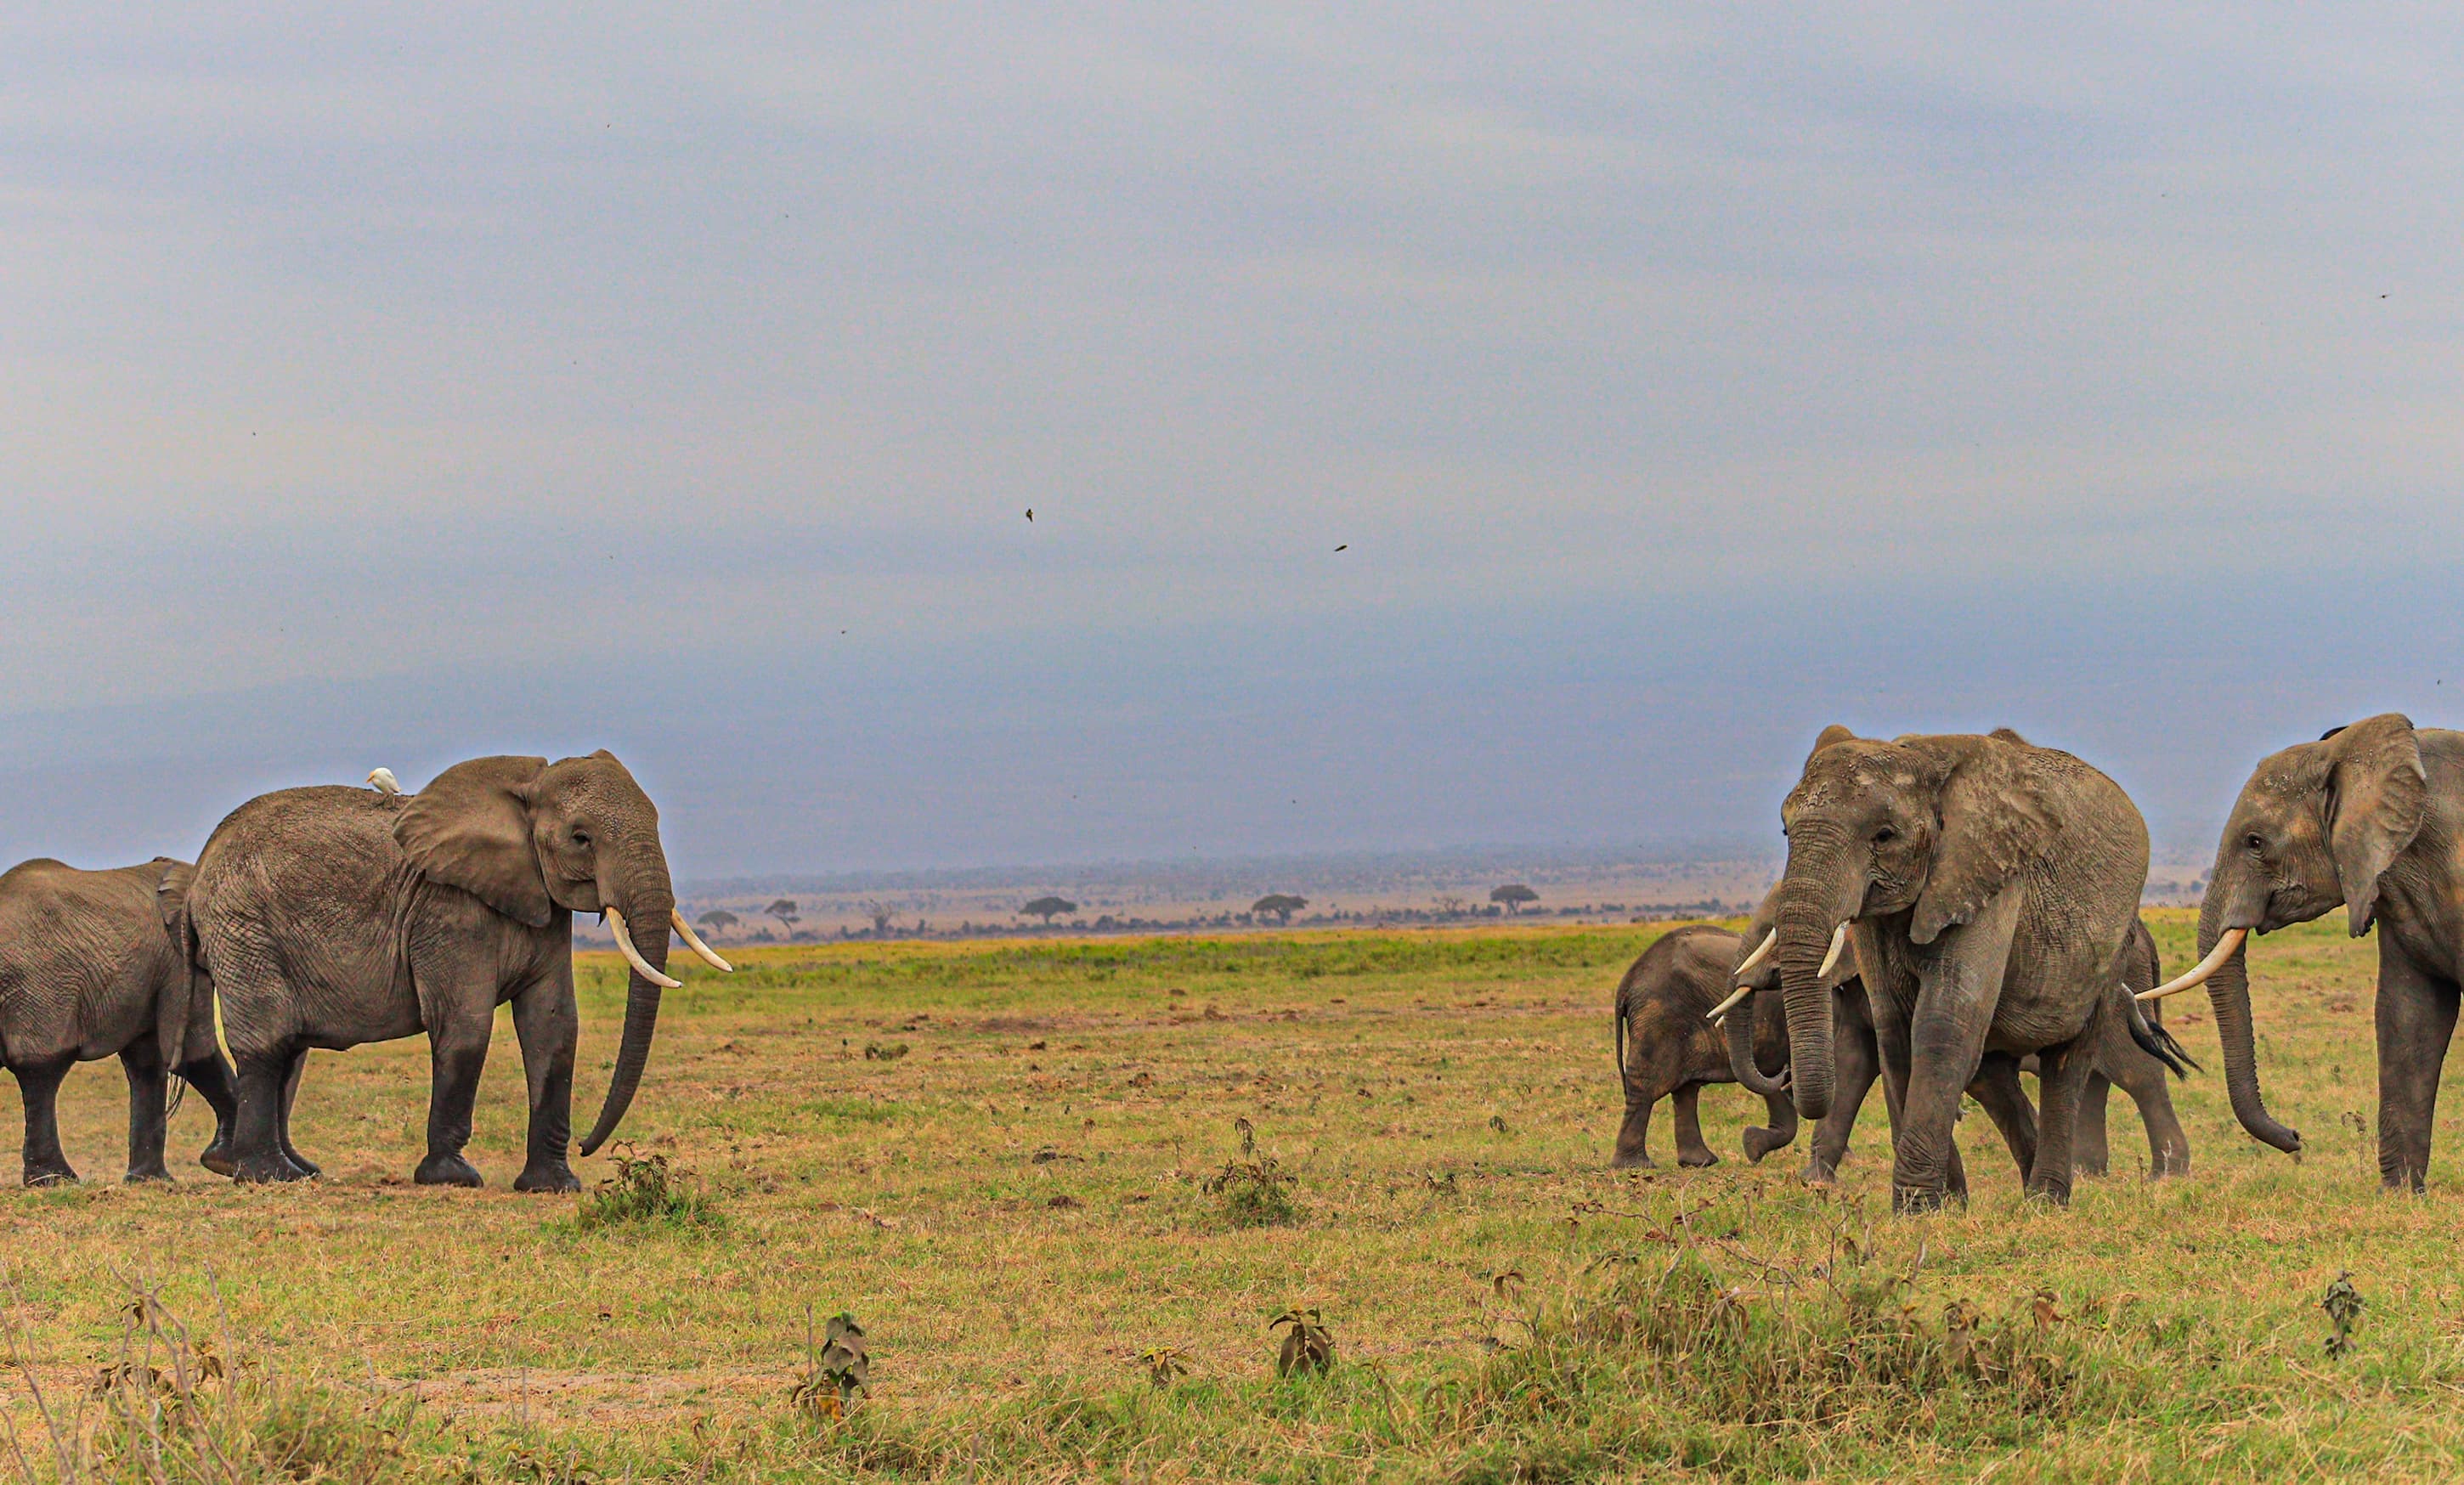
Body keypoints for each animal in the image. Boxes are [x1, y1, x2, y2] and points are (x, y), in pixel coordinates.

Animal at [0, 861, 237, 1187]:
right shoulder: (178, 961)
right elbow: (193, 1052)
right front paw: (225, 1162)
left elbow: (147, 1062)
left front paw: (150, 1181)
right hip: (37, 986)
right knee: (41, 1067)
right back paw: (57, 1180)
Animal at [179, 748, 729, 1192]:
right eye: (581, 838)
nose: (588, 1147)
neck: (527, 786)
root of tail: (200, 866)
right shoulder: (447, 908)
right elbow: (466, 1025)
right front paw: (452, 1178)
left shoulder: (543, 904)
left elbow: (553, 1027)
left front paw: (553, 1186)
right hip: (243, 929)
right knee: (269, 1043)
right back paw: (268, 1176)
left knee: (290, 1050)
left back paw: (278, 1170)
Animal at [1764, 724, 2188, 1217]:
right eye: (1784, 829)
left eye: (1884, 836)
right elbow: (1895, 1033)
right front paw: (1944, 1209)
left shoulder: (1987, 877)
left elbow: (1942, 1026)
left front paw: (1917, 1212)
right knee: (1993, 1077)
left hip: (2116, 943)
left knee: (2069, 1062)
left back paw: (2046, 1202)